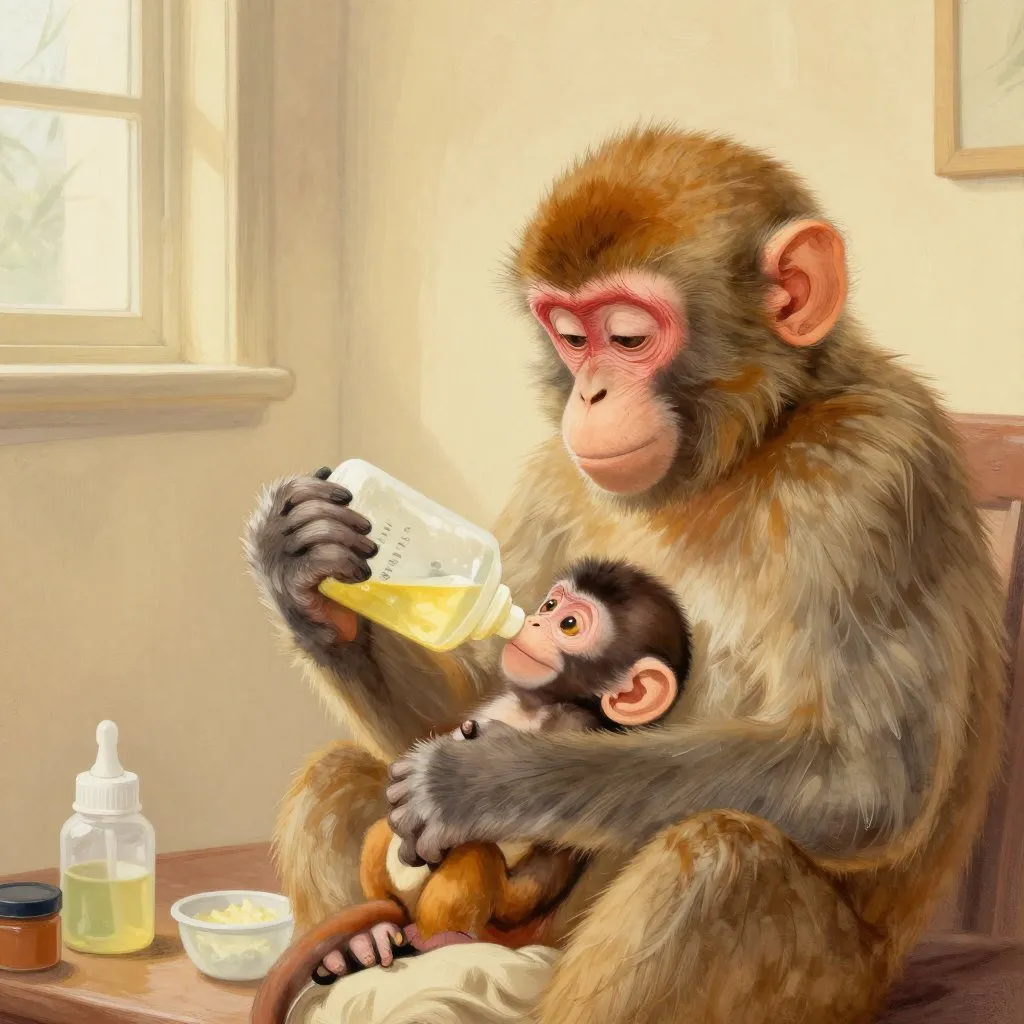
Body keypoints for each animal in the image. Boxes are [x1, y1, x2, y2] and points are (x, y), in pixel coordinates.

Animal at [307, 557, 693, 982]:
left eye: (569, 624)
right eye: (550, 605)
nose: (534, 622)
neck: (536, 705)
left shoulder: (578, 726)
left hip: (502, 918)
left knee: (477, 855)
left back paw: (443, 937)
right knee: (381, 833)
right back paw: (372, 938)